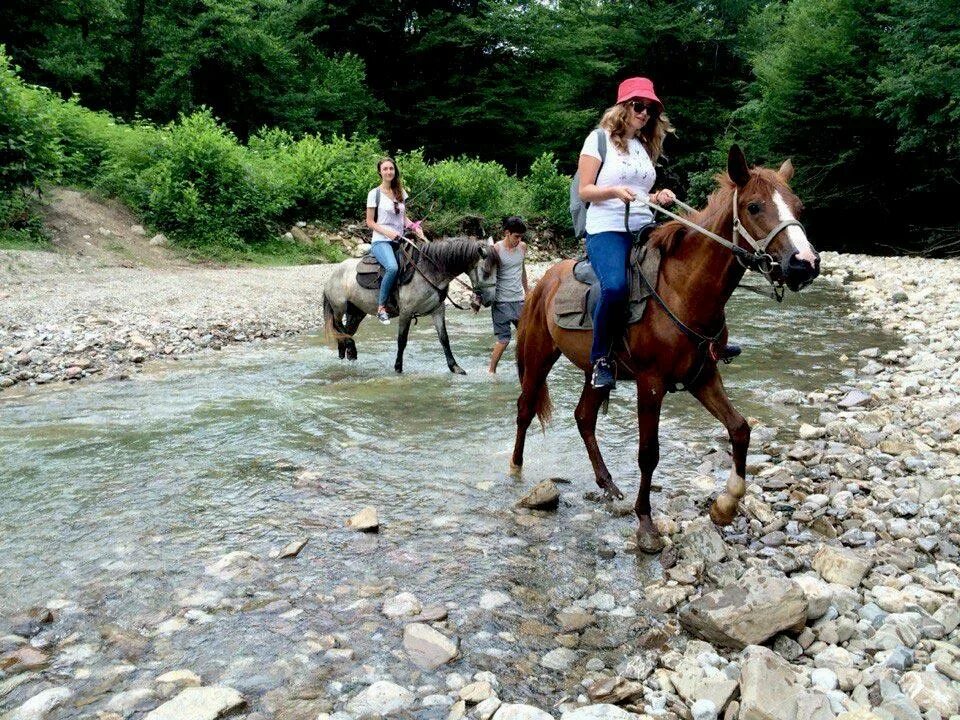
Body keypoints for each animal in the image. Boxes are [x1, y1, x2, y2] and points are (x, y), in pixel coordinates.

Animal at [322, 238, 488, 374]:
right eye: (486, 270)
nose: (483, 300)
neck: (428, 271)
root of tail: (331, 276)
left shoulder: (438, 310)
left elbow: (444, 339)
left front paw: (455, 367)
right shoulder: (406, 312)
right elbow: (402, 340)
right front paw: (398, 368)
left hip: (357, 312)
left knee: (346, 331)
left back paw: (346, 353)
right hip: (339, 307)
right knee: (338, 325)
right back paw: (351, 349)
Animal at [512, 146, 820, 552]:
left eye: (799, 207)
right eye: (754, 206)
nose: (805, 264)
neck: (683, 290)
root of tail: (545, 280)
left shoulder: (703, 376)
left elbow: (739, 428)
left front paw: (725, 505)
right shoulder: (651, 382)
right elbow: (648, 453)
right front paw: (646, 525)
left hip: (597, 371)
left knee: (583, 417)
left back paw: (608, 484)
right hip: (538, 356)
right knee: (525, 409)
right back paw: (515, 470)